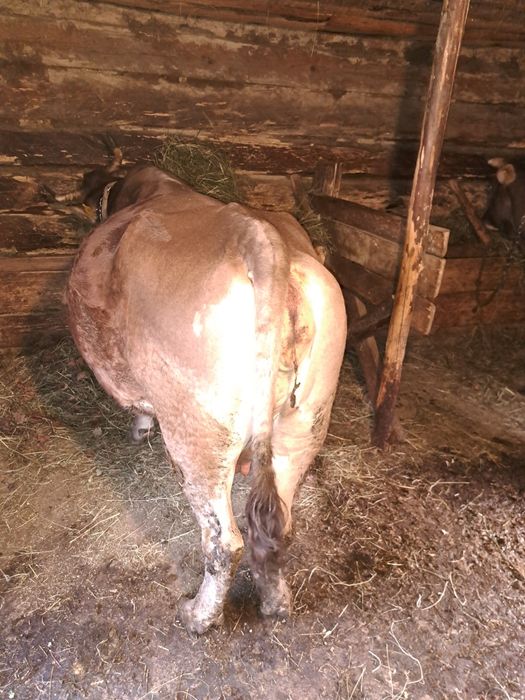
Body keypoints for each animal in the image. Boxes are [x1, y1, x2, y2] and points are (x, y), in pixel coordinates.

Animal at [61, 161, 347, 634]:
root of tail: (257, 234)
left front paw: (139, 428)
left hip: (197, 430)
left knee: (223, 541)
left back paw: (198, 616)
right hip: (308, 418)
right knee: (277, 524)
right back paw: (276, 602)